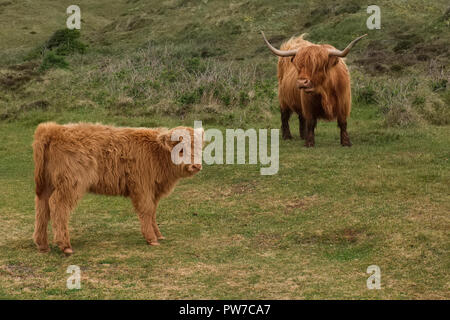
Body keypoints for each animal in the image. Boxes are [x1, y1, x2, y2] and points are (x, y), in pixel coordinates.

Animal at [30, 122, 202, 255]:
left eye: (200, 148)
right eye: (181, 148)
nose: (196, 166)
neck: (156, 153)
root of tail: (54, 129)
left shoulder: (153, 191)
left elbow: (152, 212)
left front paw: (158, 235)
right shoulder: (142, 187)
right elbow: (146, 210)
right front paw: (151, 239)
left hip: (48, 185)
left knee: (42, 207)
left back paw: (42, 245)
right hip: (70, 185)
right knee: (57, 206)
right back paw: (65, 245)